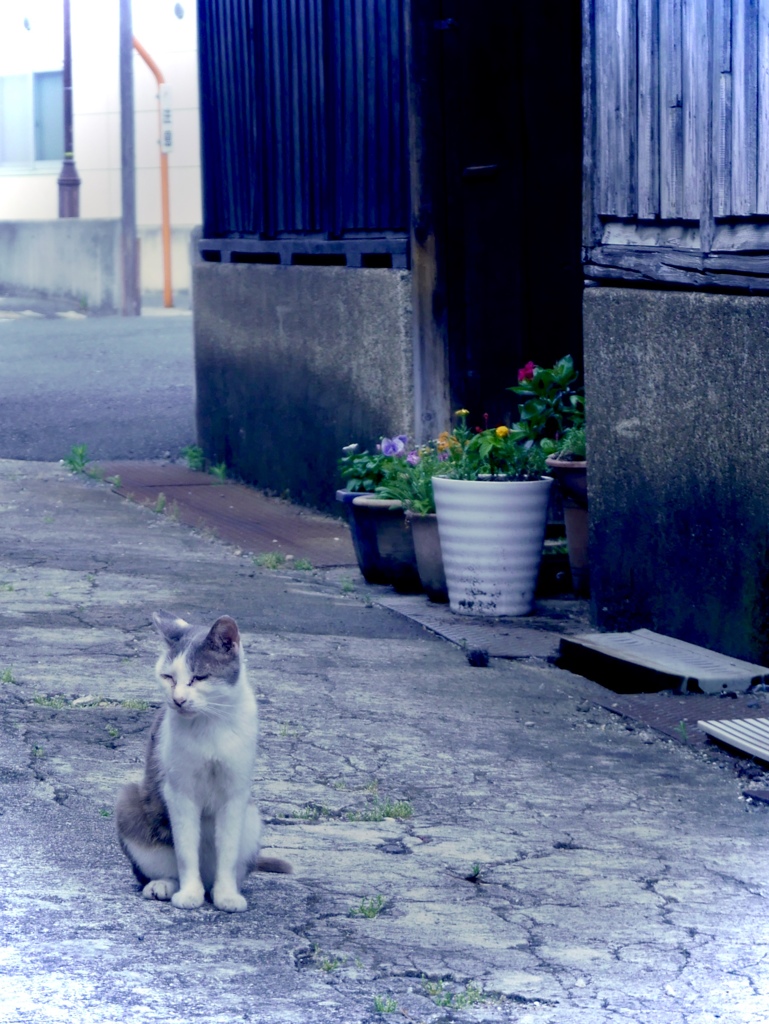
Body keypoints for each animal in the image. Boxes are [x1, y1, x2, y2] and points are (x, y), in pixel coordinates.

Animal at [115, 606, 290, 913]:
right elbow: (186, 850)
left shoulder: (234, 793)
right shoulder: (180, 791)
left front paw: (228, 896)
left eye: (199, 677)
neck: (210, 725)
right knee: (159, 867)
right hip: (129, 803)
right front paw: (188, 894)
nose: (178, 700)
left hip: (252, 818)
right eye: (168, 677)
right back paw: (164, 886)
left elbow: (228, 851)